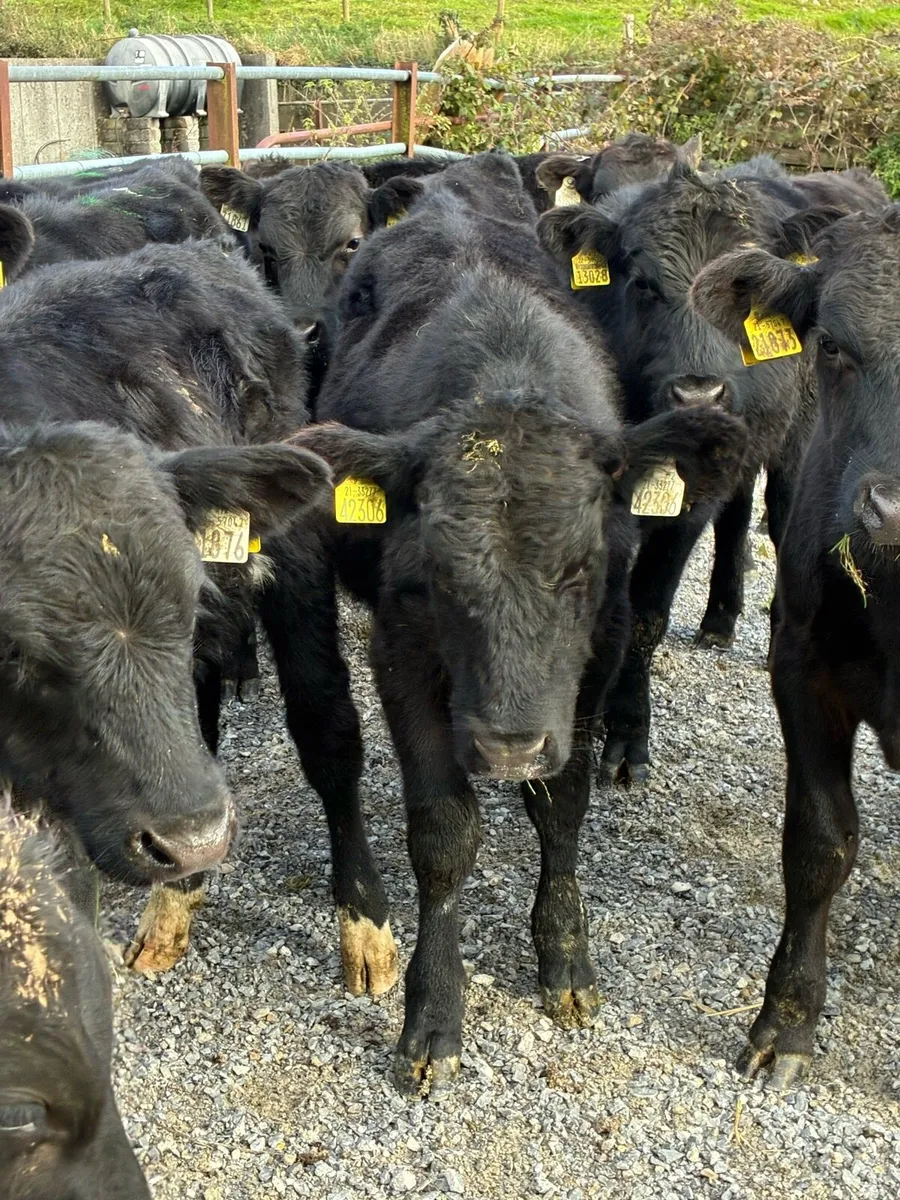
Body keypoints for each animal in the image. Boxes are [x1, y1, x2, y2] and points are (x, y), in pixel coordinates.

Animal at [295, 151, 748, 1096]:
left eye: (581, 569)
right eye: (436, 575)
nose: (508, 745)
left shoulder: (601, 650)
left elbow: (563, 804)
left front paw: (565, 958)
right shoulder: (402, 650)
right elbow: (442, 832)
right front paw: (434, 1009)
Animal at [536, 159, 886, 786]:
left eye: (742, 303)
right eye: (643, 284)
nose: (699, 395)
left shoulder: (686, 508)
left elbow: (648, 611)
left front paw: (626, 734)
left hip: (799, 440)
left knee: (778, 518)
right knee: (738, 516)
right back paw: (720, 617)